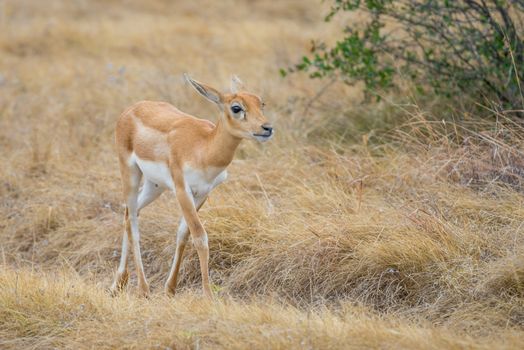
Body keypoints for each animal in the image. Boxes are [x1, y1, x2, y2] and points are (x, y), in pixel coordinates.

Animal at [111, 74, 274, 298]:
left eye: (261, 103)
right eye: (236, 107)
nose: (267, 128)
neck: (203, 149)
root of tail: (131, 109)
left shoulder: (203, 193)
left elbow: (184, 234)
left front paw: (170, 288)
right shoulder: (182, 190)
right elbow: (199, 236)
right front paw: (208, 295)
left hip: (154, 186)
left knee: (129, 213)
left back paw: (119, 282)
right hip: (130, 173)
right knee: (133, 223)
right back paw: (143, 289)